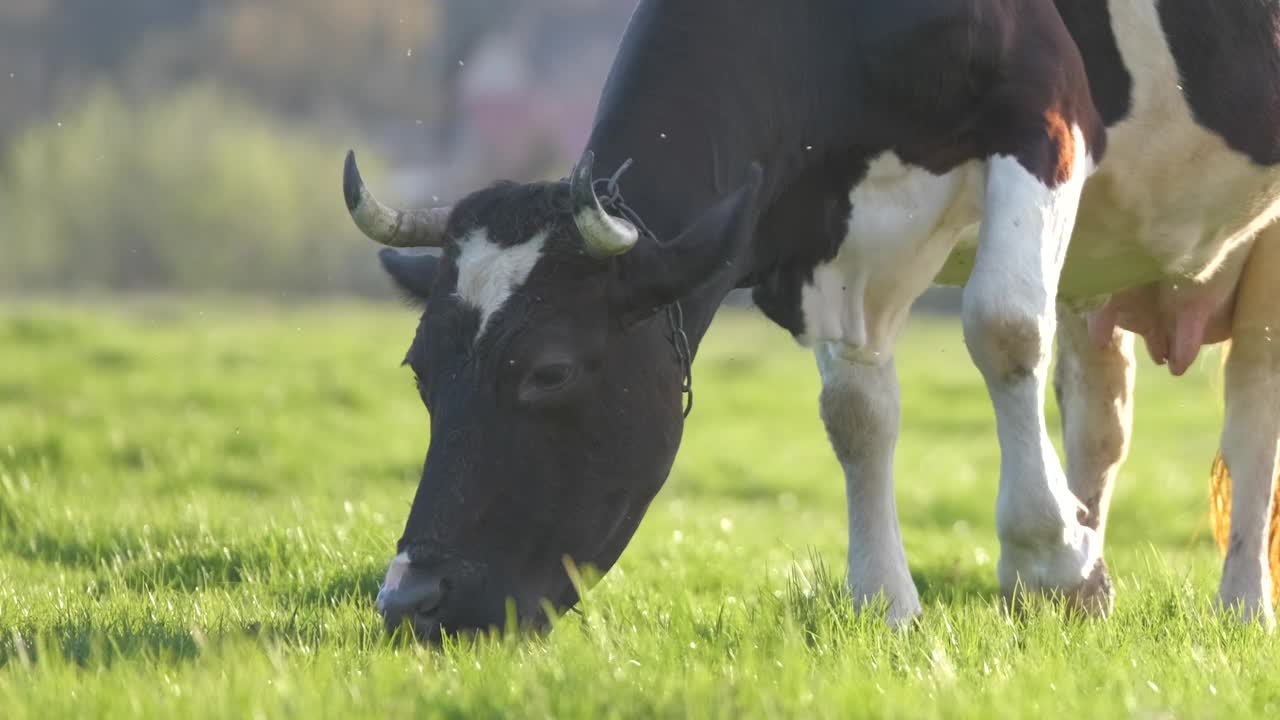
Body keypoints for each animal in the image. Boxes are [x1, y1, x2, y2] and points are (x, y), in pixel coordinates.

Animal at [348, 0, 1280, 638]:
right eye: (422, 371)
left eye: (551, 370)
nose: (409, 599)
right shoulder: (826, 242)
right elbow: (856, 413)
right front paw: (889, 600)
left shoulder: (1040, 106)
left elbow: (1004, 325)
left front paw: (1047, 555)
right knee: (1101, 418)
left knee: (1251, 417)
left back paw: (1239, 606)